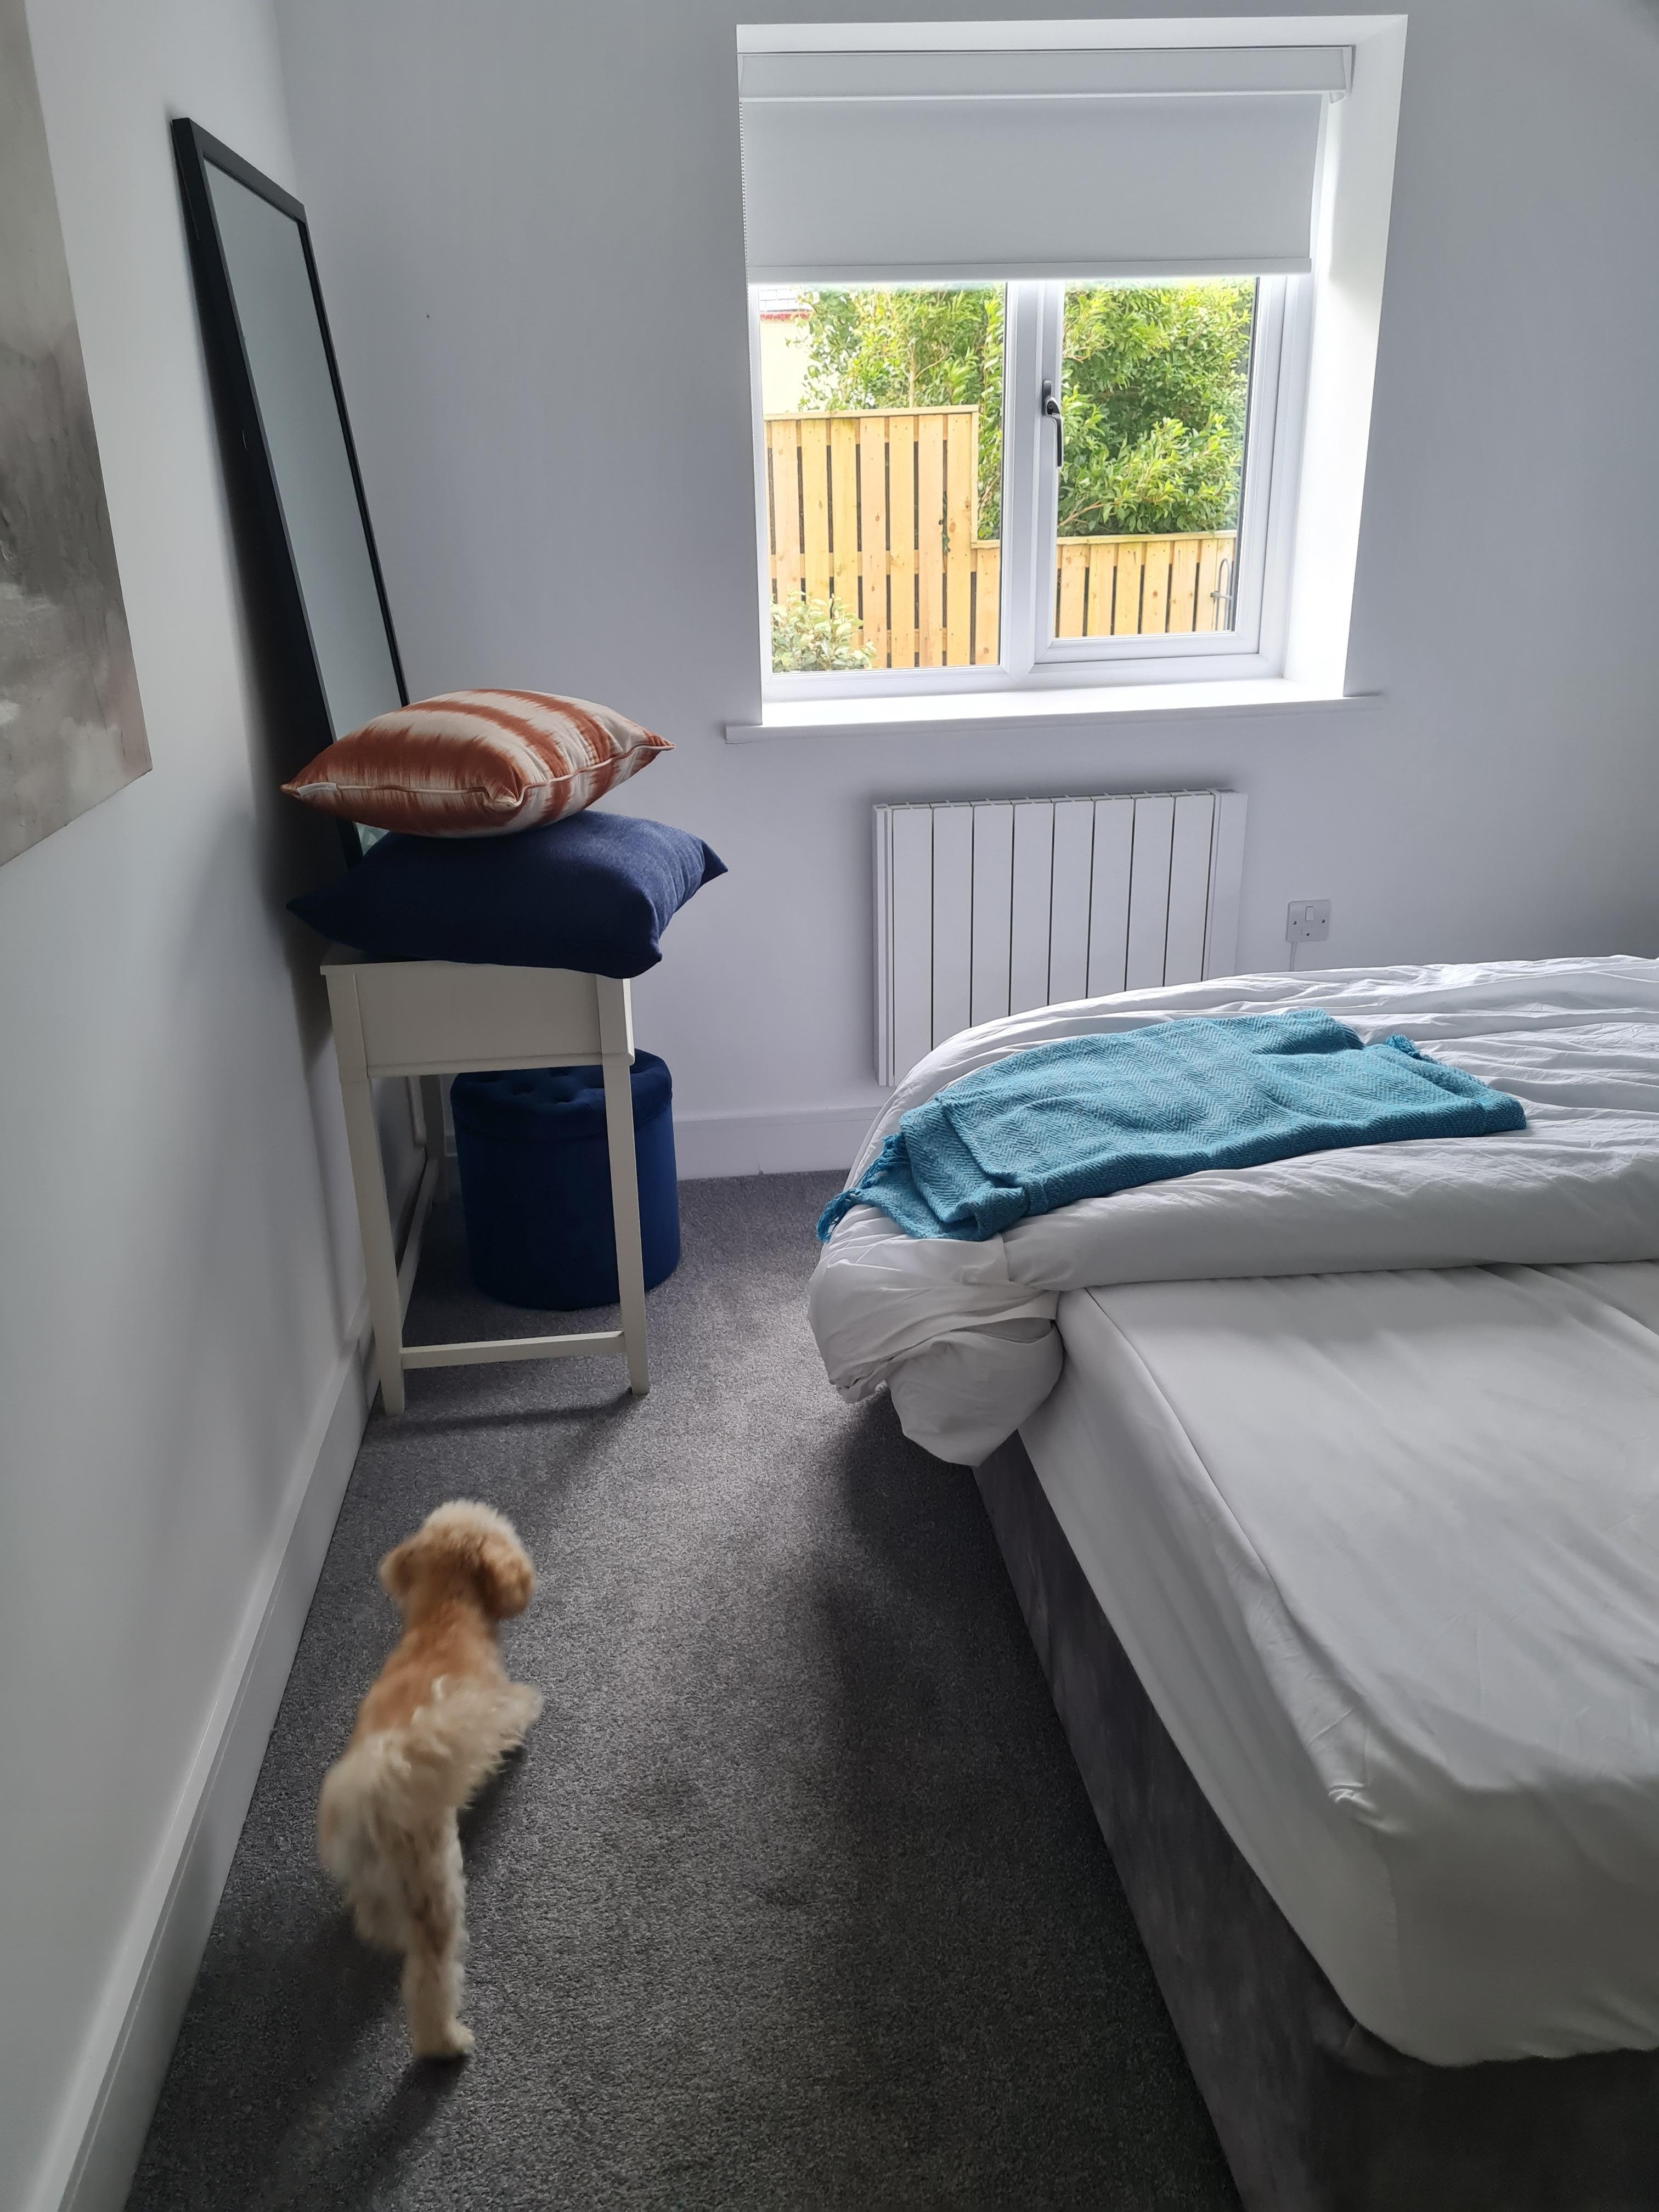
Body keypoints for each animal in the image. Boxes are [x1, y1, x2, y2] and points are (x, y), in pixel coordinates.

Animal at [318, 1500, 542, 2057]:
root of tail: (372, 1789)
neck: (444, 1615)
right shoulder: (491, 1704)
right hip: (435, 1886)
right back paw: (447, 2041)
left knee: (372, 1918)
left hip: (372, 1877)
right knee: (430, 1977)